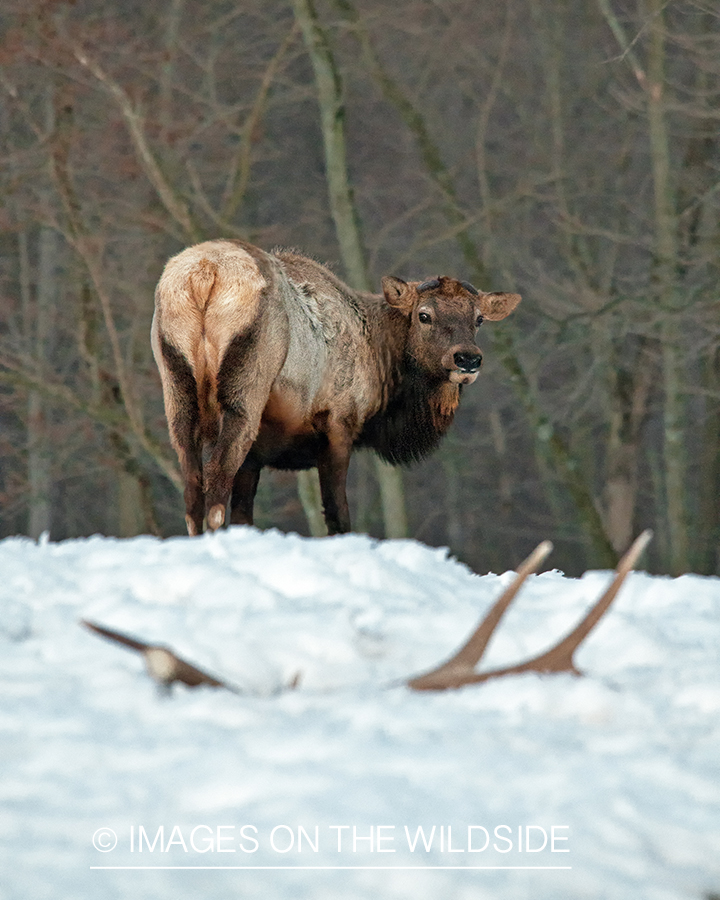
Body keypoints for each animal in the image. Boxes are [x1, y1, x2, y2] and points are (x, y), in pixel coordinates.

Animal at [152, 239, 520, 536]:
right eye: (424, 315)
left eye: (478, 319)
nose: (468, 359)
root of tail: (206, 274)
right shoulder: (340, 423)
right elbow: (337, 514)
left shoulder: (258, 455)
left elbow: (244, 514)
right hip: (245, 391)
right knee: (216, 481)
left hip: (176, 392)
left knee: (192, 488)